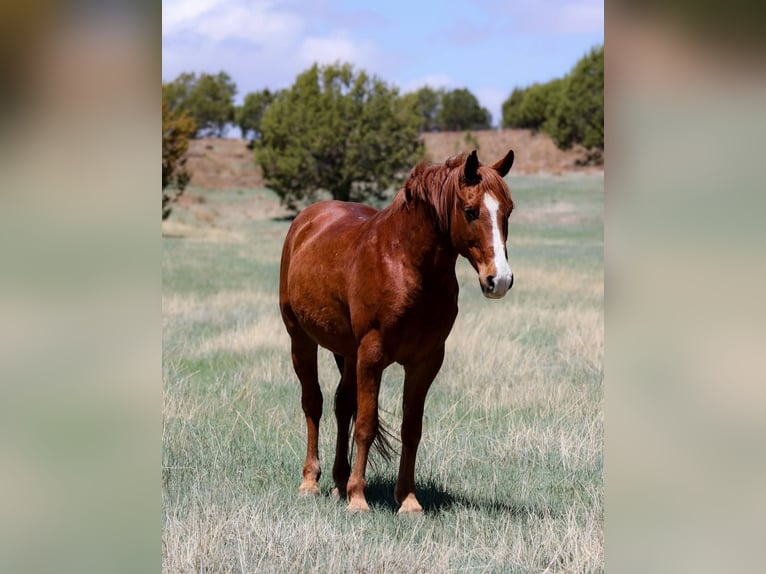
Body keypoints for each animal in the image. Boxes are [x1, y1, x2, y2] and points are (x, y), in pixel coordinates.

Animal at [278, 149, 515, 513]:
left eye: (508, 210)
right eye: (470, 211)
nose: (499, 280)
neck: (405, 264)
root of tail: (304, 221)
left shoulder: (425, 361)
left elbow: (410, 428)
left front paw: (407, 499)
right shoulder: (372, 355)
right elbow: (366, 424)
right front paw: (358, 498)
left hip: (347, 353)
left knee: (342, 405)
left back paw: (338, 482)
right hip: (301, 340)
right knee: (313, 404)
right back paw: (311, 481)